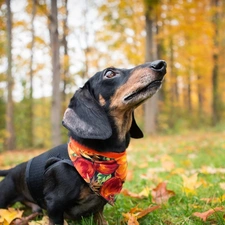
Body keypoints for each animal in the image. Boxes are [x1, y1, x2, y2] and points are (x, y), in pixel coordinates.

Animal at [0, 60, 167, 225]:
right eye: (109, 73)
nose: (161, 64)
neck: (98, 156)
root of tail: (13, 169)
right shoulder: (54, 205)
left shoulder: (99, 206)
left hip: (36, 210)